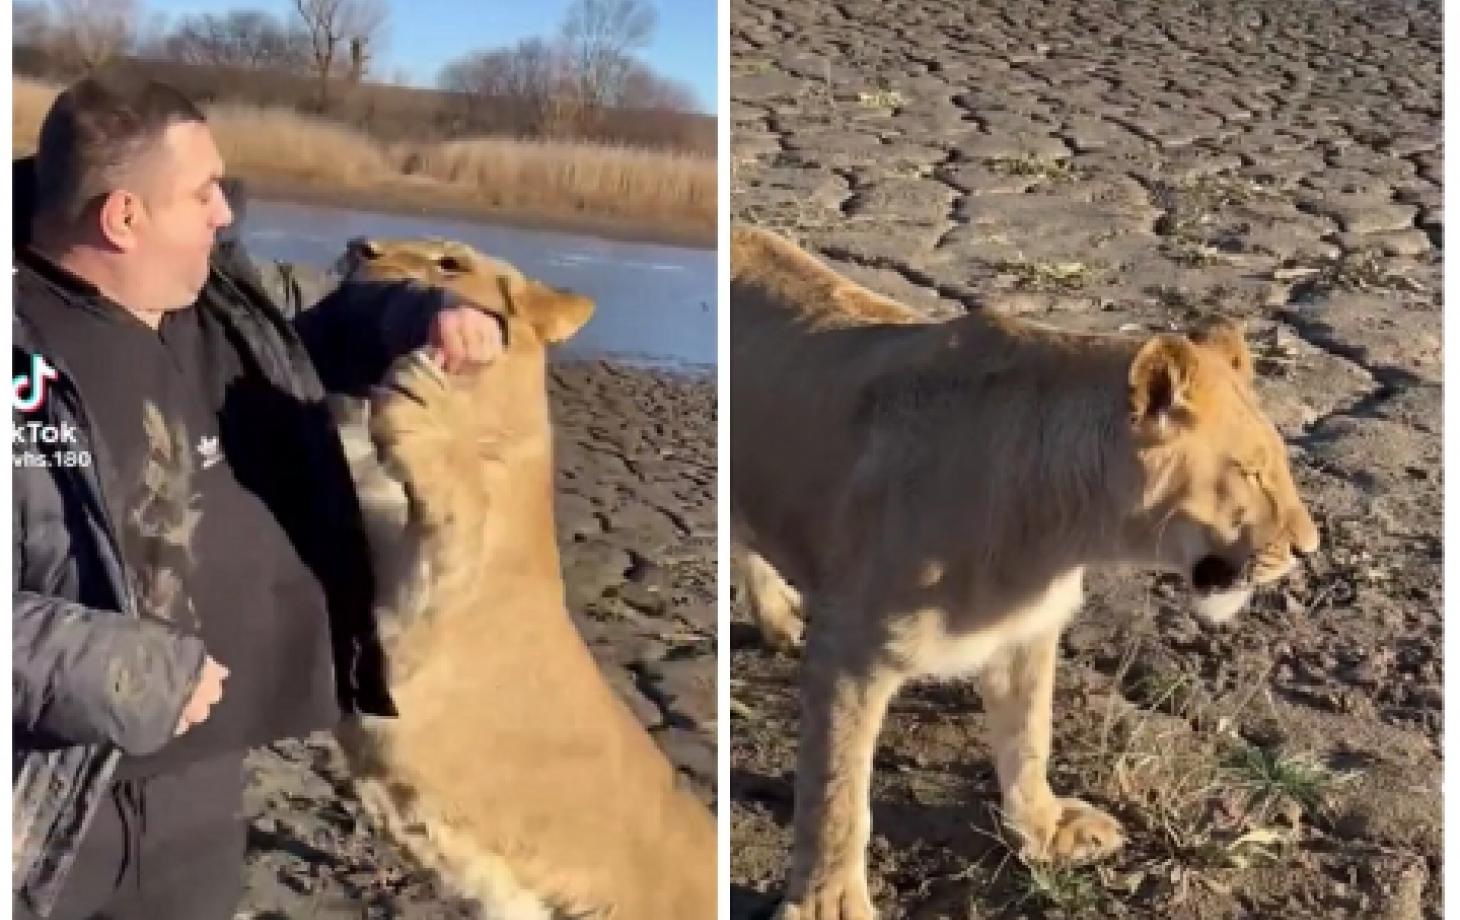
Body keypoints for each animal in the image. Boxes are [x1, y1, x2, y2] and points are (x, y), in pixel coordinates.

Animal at [730, 224, 1325, 920]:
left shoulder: (1026, 631)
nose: (1309, 549)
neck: (1062, 529)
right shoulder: (850, 654)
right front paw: (829, 905)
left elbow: (1029, 736)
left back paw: (775, 620)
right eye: (1251, 472)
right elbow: (836, 794)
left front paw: (1045, 829)